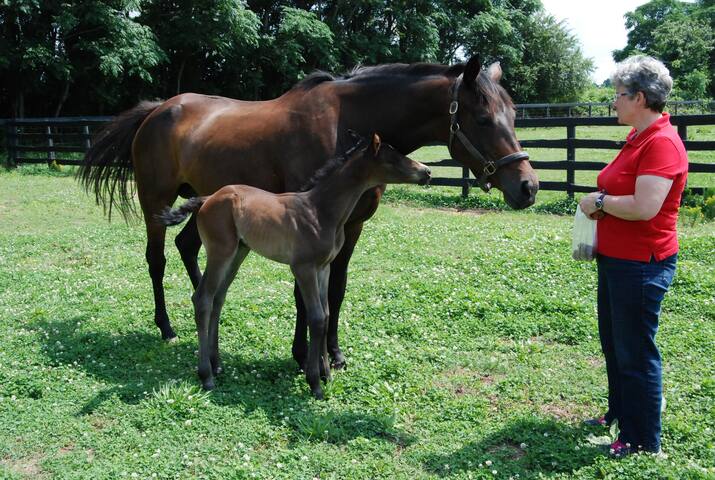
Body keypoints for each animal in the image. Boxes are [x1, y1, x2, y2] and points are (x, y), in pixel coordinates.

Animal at [162, 134, 430, 398]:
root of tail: (208, 198)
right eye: (393, 158)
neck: (320, 211)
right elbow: (317, 317)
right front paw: (315, 382)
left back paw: (217, 364)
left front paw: (326, 374)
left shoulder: (324, 268)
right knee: (203, 298)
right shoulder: (303, 268)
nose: (426, 171)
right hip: (220, 252)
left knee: (218, 298)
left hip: (238, 253)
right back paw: (206, 375)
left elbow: (326, 314)